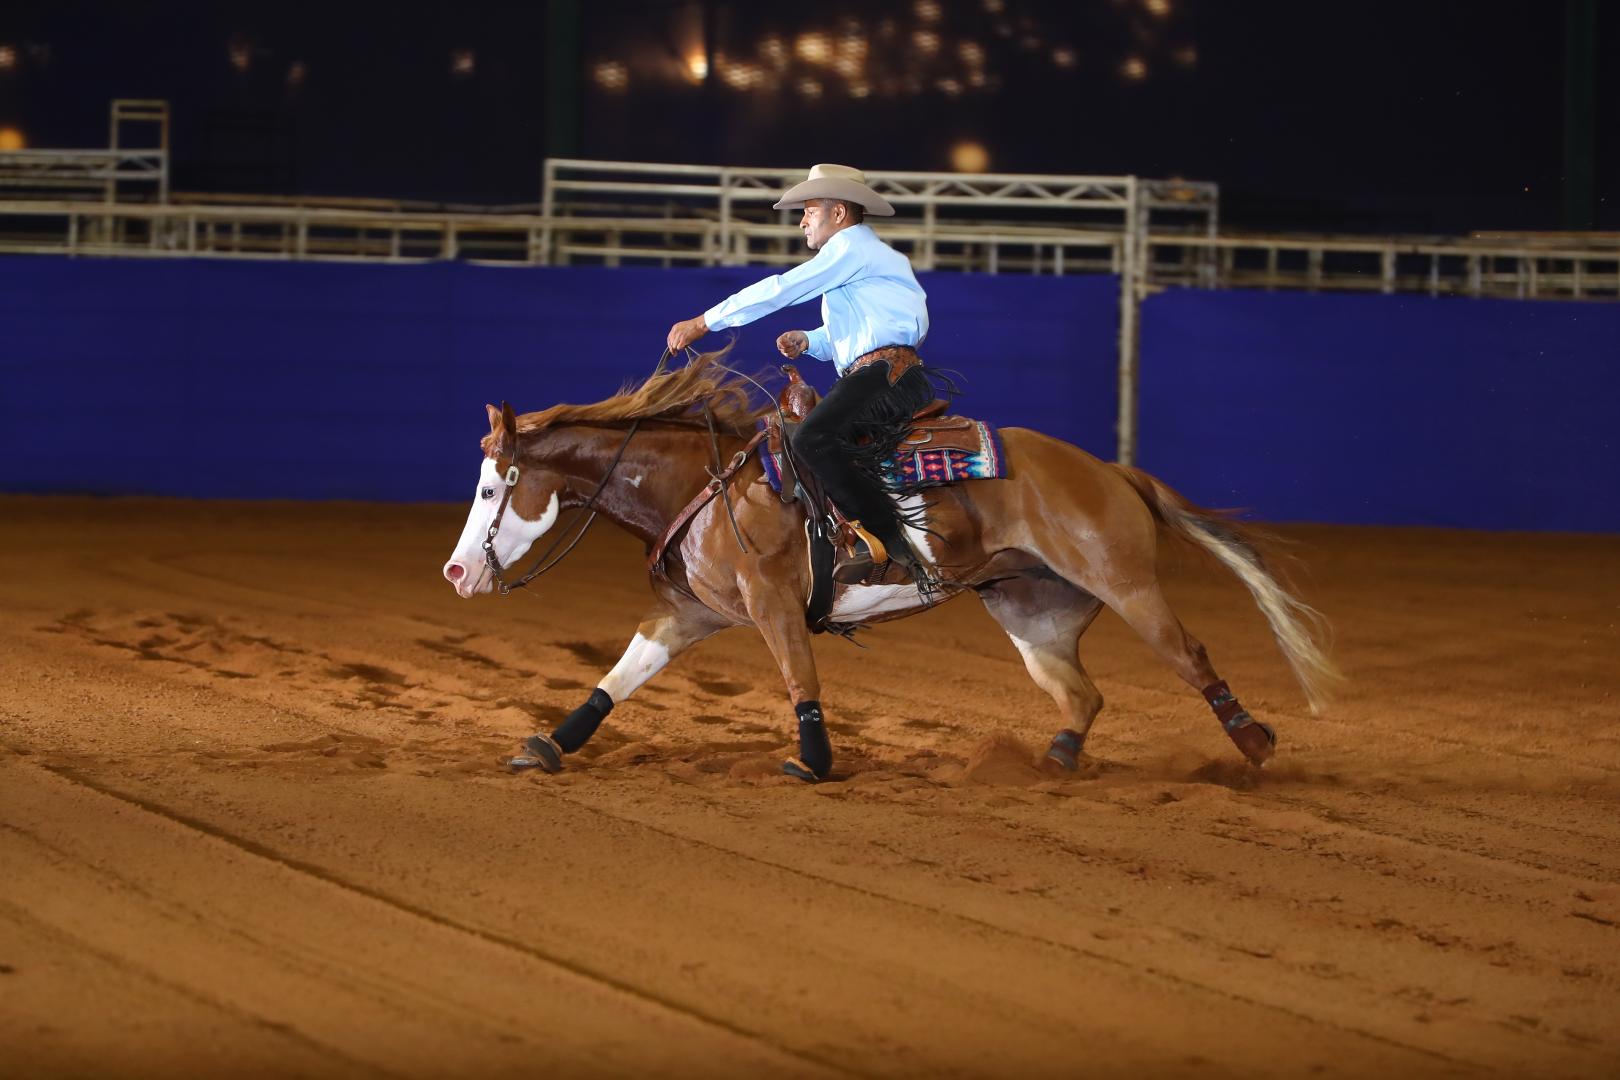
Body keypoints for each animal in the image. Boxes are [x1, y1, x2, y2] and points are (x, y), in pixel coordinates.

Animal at [437, 351, 1334, 780]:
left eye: (490, 487)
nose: (455, 576)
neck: (702, 485)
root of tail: (1109, 470)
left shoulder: (772, 605)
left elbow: (800, 680)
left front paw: (813, 762)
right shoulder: (688, 613)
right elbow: (617, 678)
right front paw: (546, 747)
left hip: (1128, 585)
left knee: (1193, 657)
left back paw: (1256, 747)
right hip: (1032, 612)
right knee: (1083, 695)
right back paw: (1051, 764)